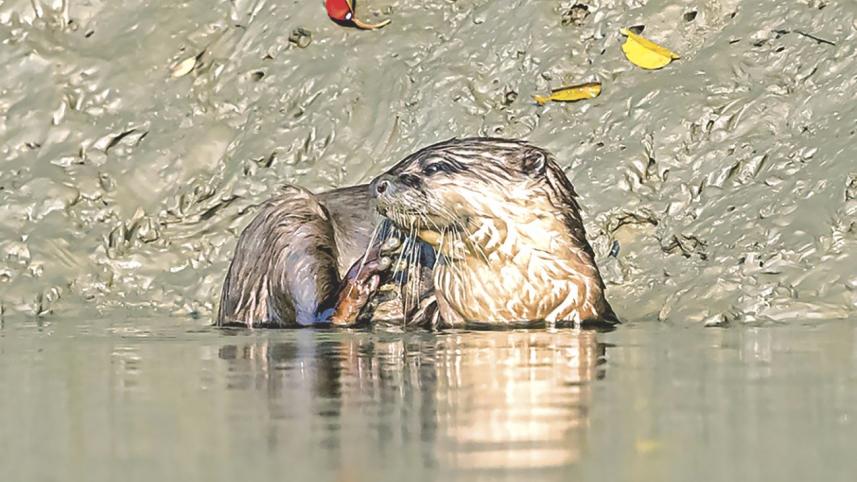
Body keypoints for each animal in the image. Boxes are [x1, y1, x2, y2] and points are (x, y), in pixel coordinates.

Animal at [217, 137, 616, 328]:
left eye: (435, 166)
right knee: (310, 314)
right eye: (401, 163)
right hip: (289, 219)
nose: (378, 183)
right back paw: (362, 280)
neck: (517, 300)